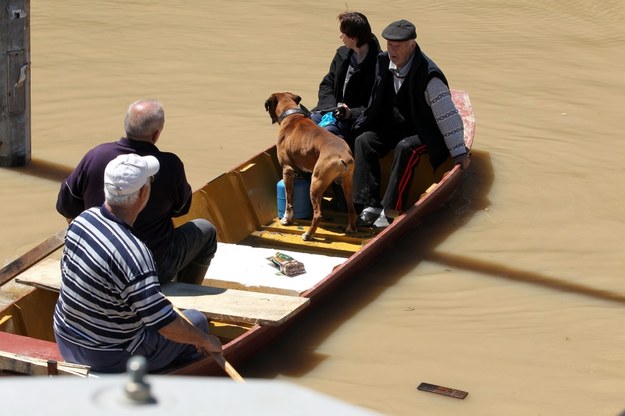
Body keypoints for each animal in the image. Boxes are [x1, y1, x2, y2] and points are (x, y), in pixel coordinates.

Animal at [264, 91, 356, 240]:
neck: (291, 114)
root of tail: (344, 156)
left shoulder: (287, 170)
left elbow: (289, 200)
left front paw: (286, 219)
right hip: (346, 185)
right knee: (351, 208)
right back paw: (351, 229)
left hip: (316, 183)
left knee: (318, 214)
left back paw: (308, 235)